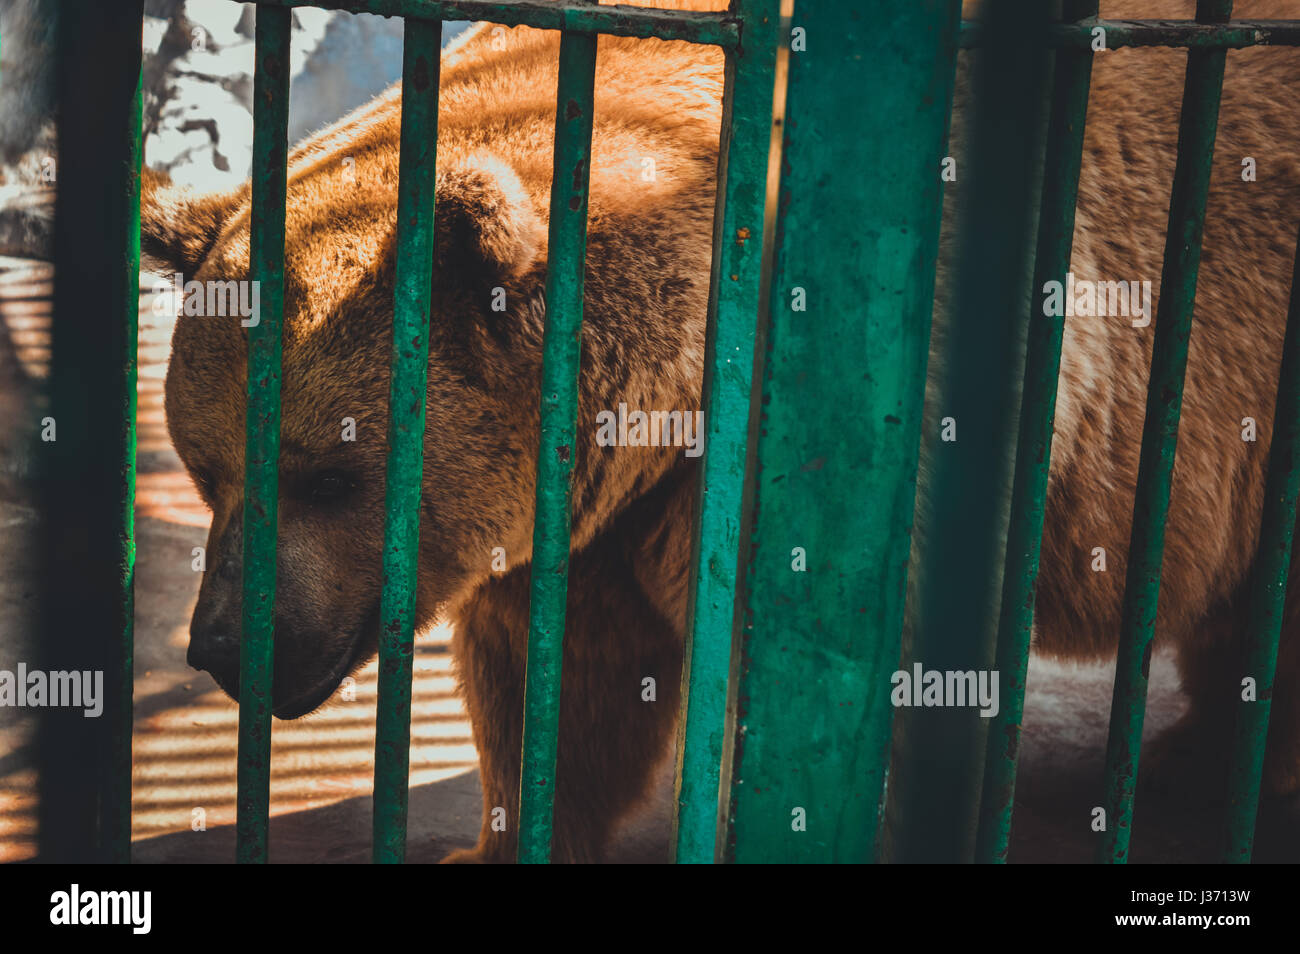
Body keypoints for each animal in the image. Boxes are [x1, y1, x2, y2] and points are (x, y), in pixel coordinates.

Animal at [143, 0, 1300, 863]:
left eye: (325, 472)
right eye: (207, 469)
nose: (223, 645)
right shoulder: (590, 509)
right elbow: (560, 683)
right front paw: (500, 840)